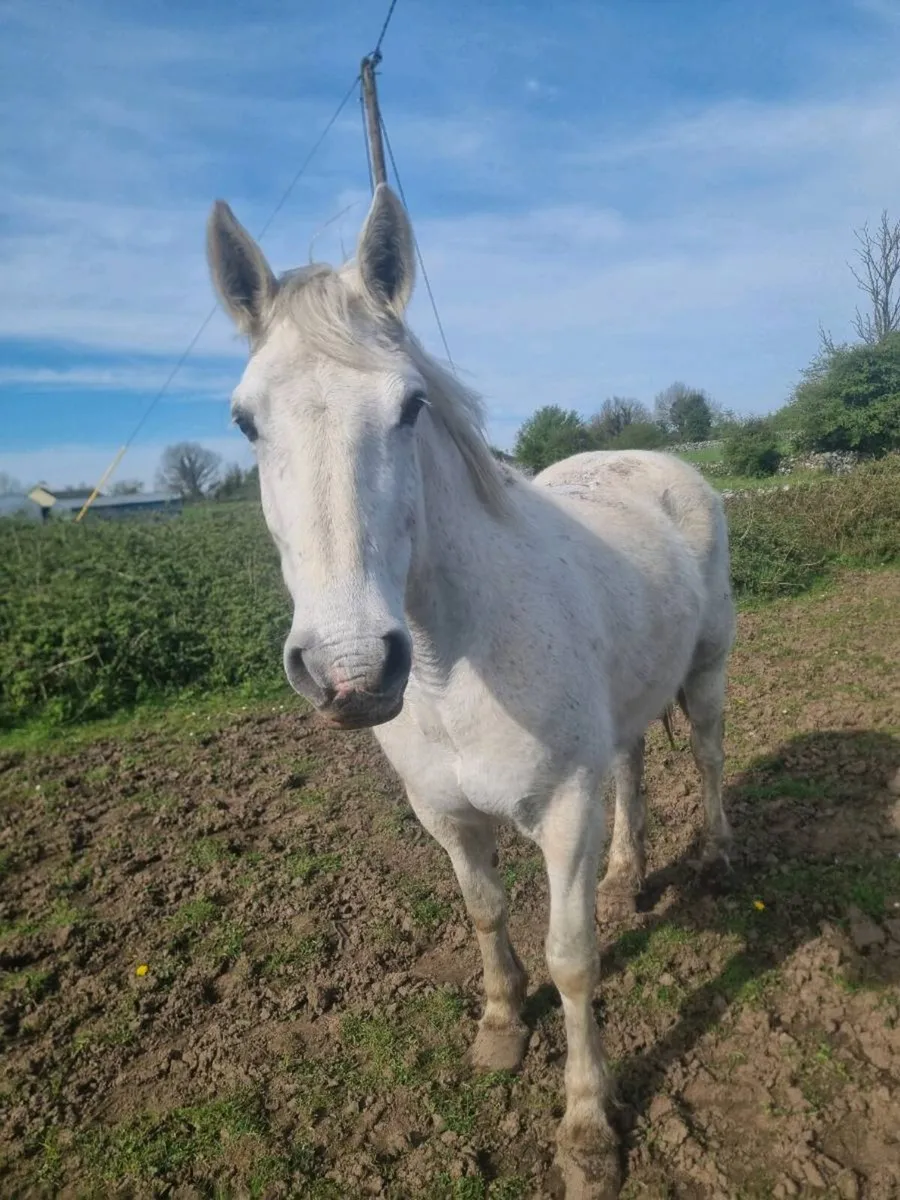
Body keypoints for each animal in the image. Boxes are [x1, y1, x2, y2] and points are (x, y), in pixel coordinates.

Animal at [206, 183, 735, 1198]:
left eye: (410, 405)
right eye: (246, 420)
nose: (350, 668)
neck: (459, 663)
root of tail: (662, 461)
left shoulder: (564, 812)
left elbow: (574, 961)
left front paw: (587, 1131)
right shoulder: (445, 814)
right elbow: (485, 911)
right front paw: (498, 1031)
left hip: (707, 673)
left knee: (708, 755)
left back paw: (723, 861)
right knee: (633, 769)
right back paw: (629, 876)